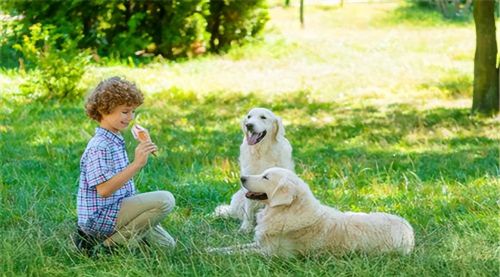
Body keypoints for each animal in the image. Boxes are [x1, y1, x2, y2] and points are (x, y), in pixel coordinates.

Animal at [209, 166, 416, 254]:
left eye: (266, 177)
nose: (242, 178)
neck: (287, 211)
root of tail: (409, 229)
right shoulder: (260, 244)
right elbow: (234, 247)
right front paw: (210, 249)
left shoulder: (270, 254)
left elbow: (237, 252)